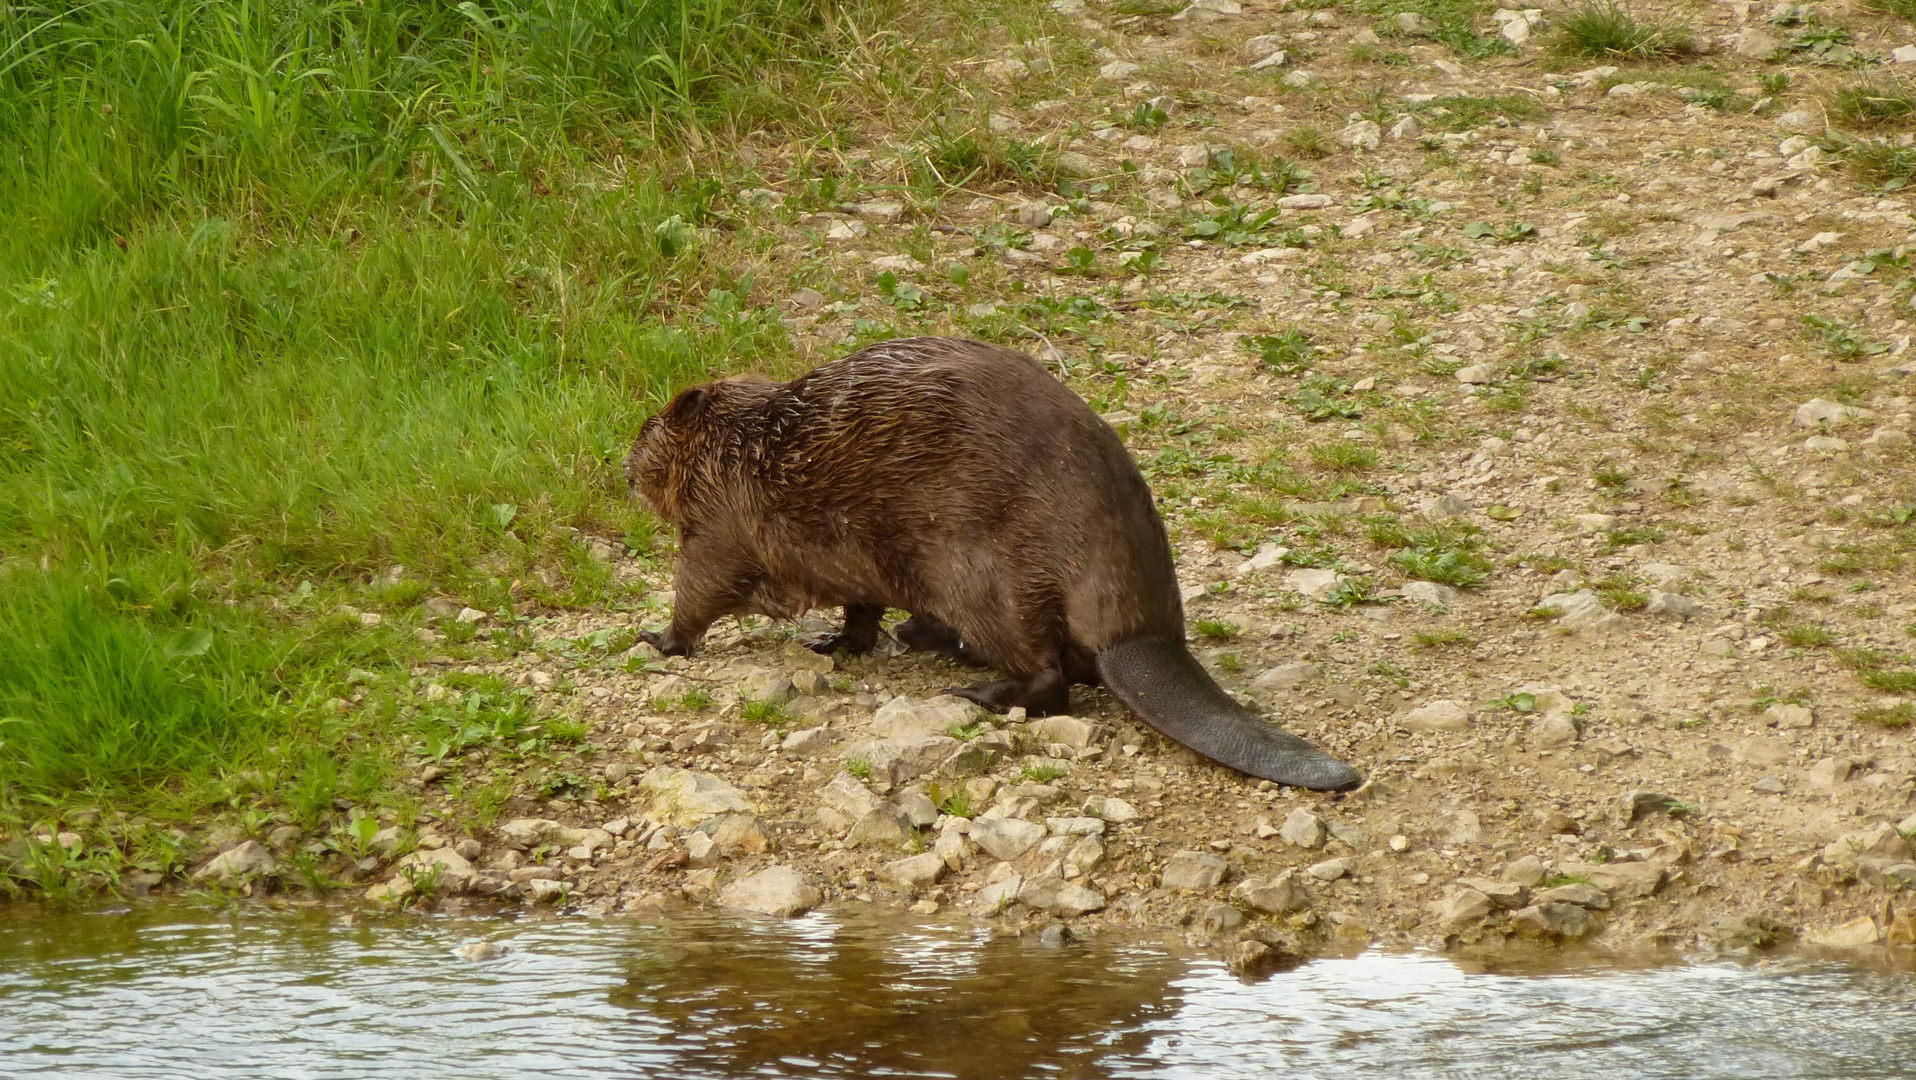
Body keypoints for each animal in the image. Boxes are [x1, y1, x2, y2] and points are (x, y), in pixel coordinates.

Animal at [628, 333, 1364, 788]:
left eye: (644, 430)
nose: (625, 468)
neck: (745, 445)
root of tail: (1141, 637)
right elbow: (858, 605)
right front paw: (833, 642)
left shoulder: (719, 522)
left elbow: (702, 587)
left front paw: (657, 638)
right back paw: (924, 638)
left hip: (979, 575)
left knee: (1050, 676)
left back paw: (974, 692)